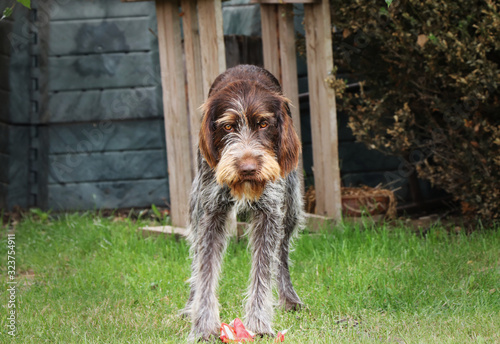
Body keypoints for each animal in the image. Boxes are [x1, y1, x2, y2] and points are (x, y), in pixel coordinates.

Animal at [182, 63, 302, 342]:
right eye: (227, 127)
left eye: (264, 124)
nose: (247, 168)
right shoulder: (211, 212)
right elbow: (205, 270)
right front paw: (203, 327)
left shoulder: (270, 212)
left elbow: (263, 271)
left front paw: (258, 324)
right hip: (196, 206)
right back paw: (190, 305)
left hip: (291, 205)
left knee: (282, 254)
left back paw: (289, 298)